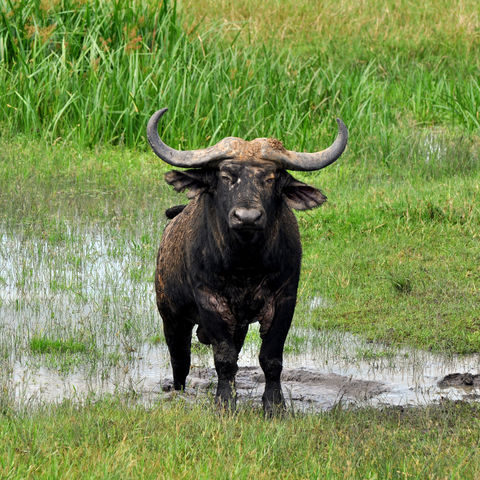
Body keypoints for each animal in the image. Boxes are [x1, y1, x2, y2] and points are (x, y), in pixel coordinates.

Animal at [148, 109, 346, 412]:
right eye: (225, 176)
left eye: (270, 178)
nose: (247, 217)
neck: (245, 264)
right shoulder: (210, 299)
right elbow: (224, 358)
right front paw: (225, 402)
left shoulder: (284, 299)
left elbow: (271, 358)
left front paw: (274, 405)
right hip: (171, 314)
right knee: (180, 359)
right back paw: (176, 389)